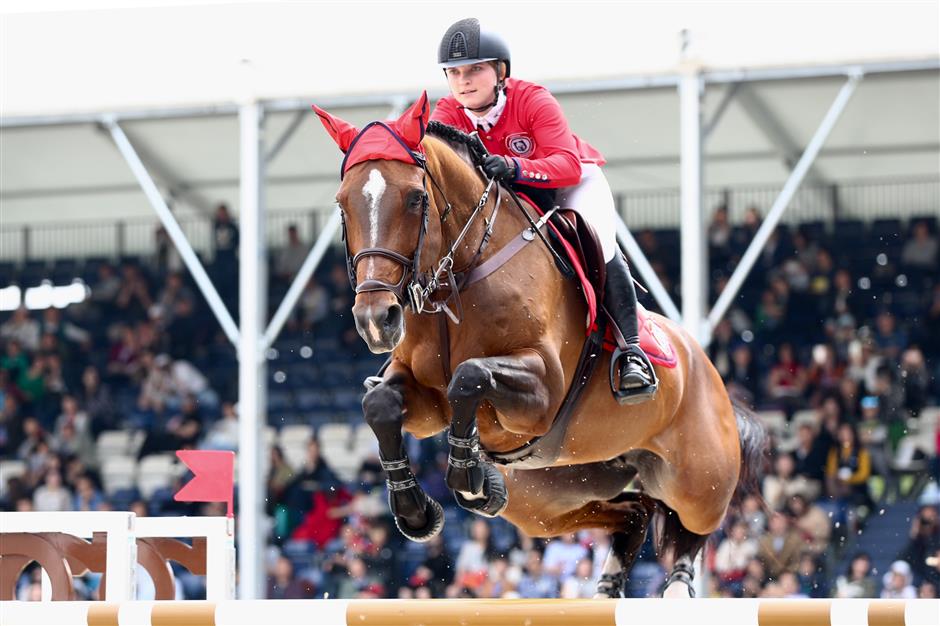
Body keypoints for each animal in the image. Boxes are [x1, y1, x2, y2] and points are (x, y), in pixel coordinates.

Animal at [312, 92, 768, 596]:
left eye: (415, 198)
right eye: (342, 203)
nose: (376, 320)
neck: (459, 276)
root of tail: (706, 366)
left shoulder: (543, 389)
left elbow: (470, 376)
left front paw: (468, 474)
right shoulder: (425, 399)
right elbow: (381, 405)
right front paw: (418, 510)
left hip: (697, 476)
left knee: (692, 527)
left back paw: (673, 586)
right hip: (552, 496)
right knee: (633, 514)